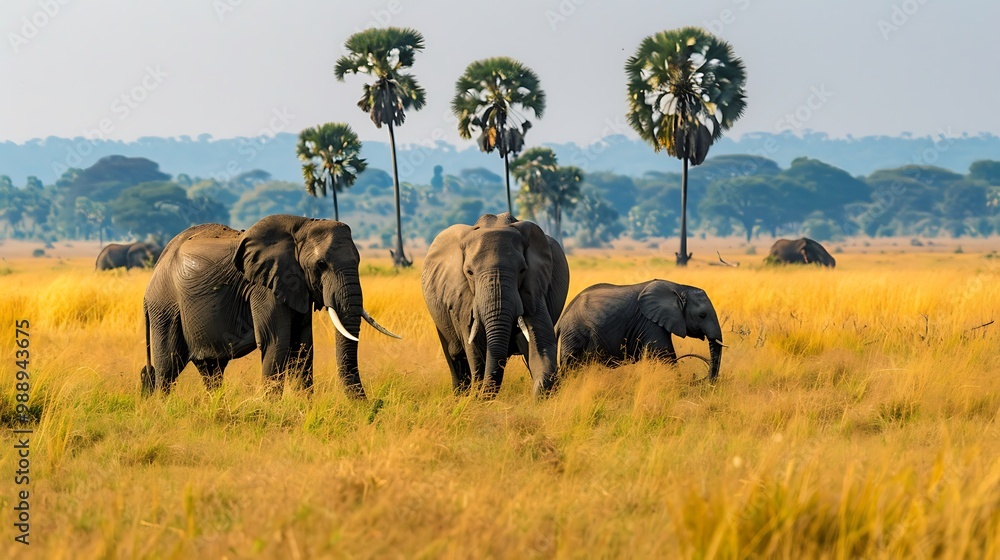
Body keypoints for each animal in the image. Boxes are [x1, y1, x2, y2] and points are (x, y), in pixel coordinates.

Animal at [140, 214, 399, 398]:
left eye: (358, 261)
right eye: (321, 265)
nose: (375, 405)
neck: (302, 226)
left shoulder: (296, 285)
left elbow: (302, 347)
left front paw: (303, 408)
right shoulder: (264, 287)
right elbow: (276, 342)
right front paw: (270, 410)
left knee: (211, 369)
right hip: (165, 306)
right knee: (168, 367)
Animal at [421, 213, 570, 398]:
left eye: (522, 270)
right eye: (469, 272)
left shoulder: (535, 287)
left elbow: (541, 342)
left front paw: (541, 392)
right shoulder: (462, 296)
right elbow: (474, 348)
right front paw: (477, 396)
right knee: (455, 356)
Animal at [555, 280, 723, 381]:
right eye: (702, 315)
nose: (699, 379)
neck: (680, 287)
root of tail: (561, 321)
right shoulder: (650, 323)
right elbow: (664, 354)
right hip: (575, 334)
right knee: (570, 366)